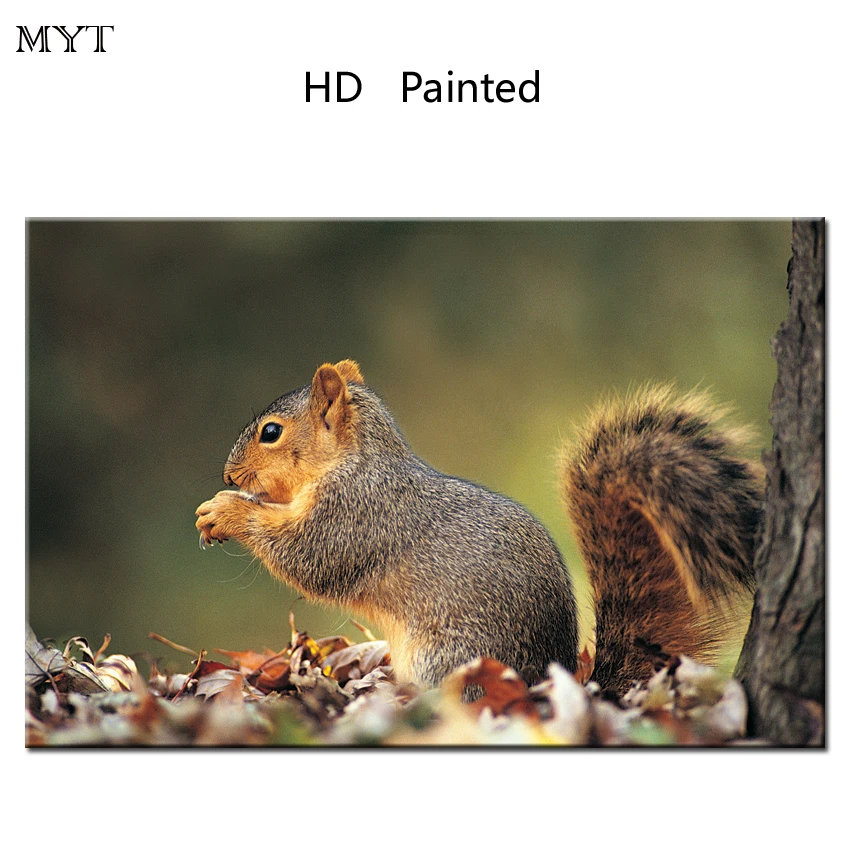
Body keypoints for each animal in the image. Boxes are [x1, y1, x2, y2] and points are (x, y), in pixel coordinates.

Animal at [195, 360, 763, 696]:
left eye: (271, 433)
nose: (227, 475)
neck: (356, 460)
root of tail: (547, 680)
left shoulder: (356, 514)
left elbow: (308, 556)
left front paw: (226, 511)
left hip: (447, 659)